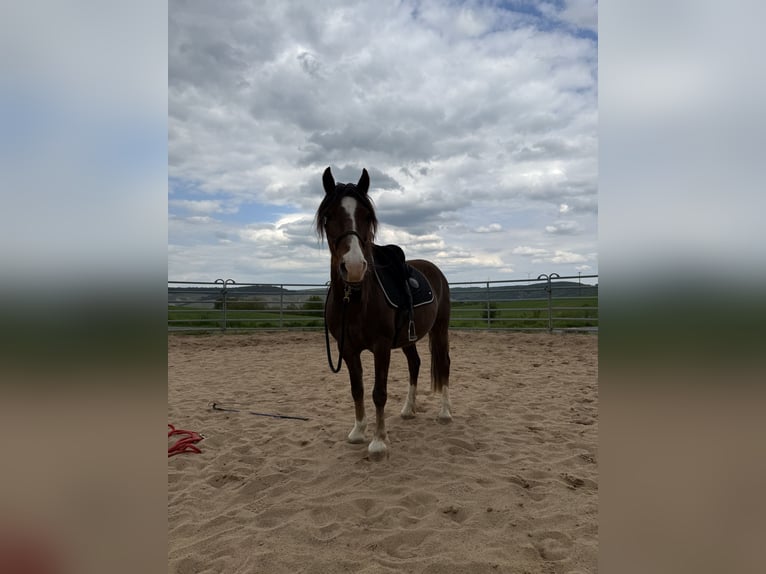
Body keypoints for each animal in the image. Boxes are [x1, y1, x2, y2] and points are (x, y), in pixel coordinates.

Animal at [316, 167, 452, 461]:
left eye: (367, 216)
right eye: (328, 216)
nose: (354, 267)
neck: (356, 300)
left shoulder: (381, 347)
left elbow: (379, 392)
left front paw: (379, 442)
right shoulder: (348, 349)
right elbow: (357, 388)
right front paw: (358, 431)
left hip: (441, 329)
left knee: (444, 363)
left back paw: (445, 413)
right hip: (408, 339)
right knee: (415, 364)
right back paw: (408, 410)